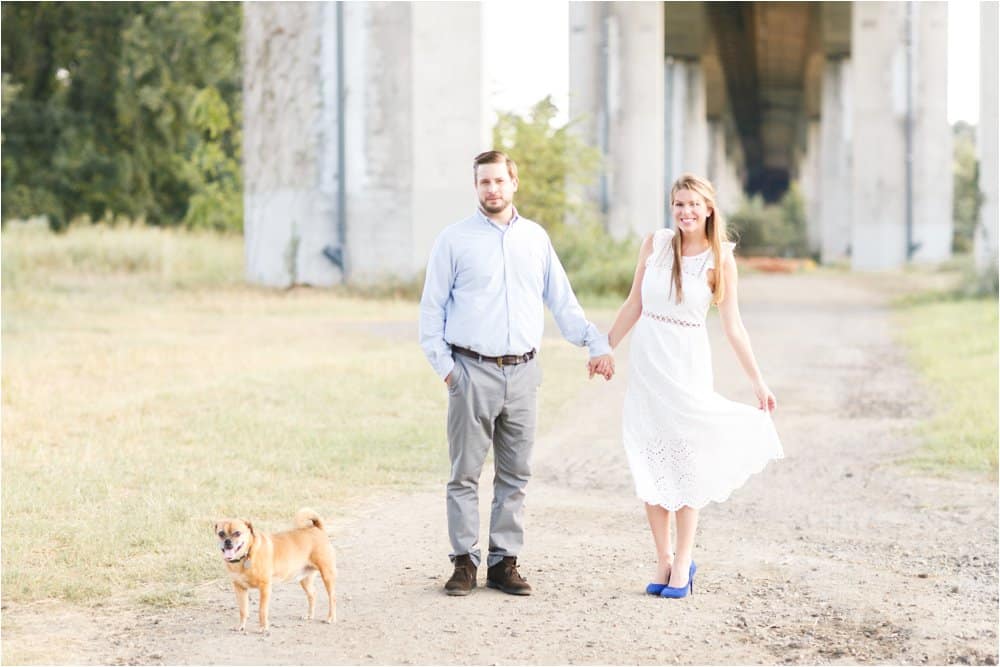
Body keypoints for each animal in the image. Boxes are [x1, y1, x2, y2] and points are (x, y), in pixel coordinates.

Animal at [213, 508, 338, 636]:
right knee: (312, 594)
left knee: (332, 597)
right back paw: (309, 615)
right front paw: (241, 626)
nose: (227, 541)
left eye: (237, 533)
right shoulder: (240, 588)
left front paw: (263, 627)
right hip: (304, 579)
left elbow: (262, 610)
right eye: (221, 533)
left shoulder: (264, 588)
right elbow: (243, 610)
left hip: (327, 575)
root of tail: (317, 529)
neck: (246, 555)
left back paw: (330, 617)